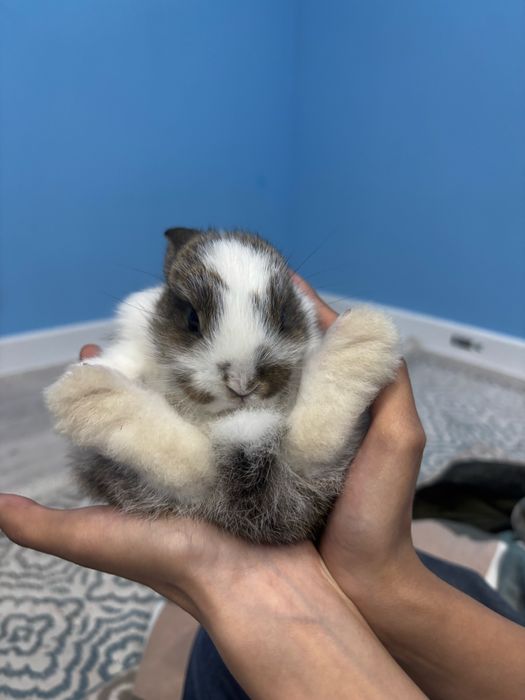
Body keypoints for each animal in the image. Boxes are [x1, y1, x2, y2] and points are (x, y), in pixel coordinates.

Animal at [45, 228, 400, 544]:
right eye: (191, 319)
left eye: (284, 316)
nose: (242, 383)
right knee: (185, 463)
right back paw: (85, 394)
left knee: (311, 442)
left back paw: (362, 339)